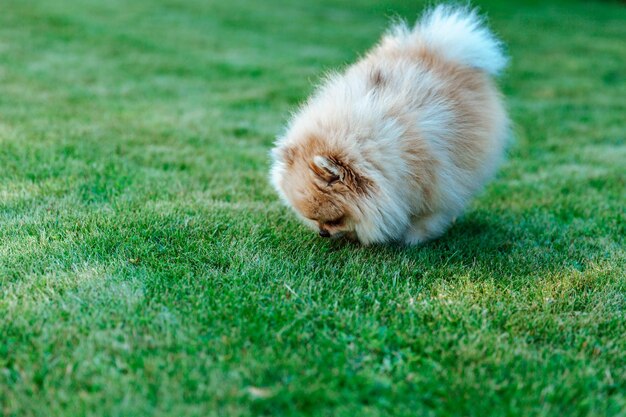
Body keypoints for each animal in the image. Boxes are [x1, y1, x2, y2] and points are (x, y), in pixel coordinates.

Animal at [268, 4, 508, 245]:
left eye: (336, 219)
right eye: (315, 219)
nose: (323, 233)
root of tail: (441, 50)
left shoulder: (435, 183)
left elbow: (427, 214)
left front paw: (412, 239)